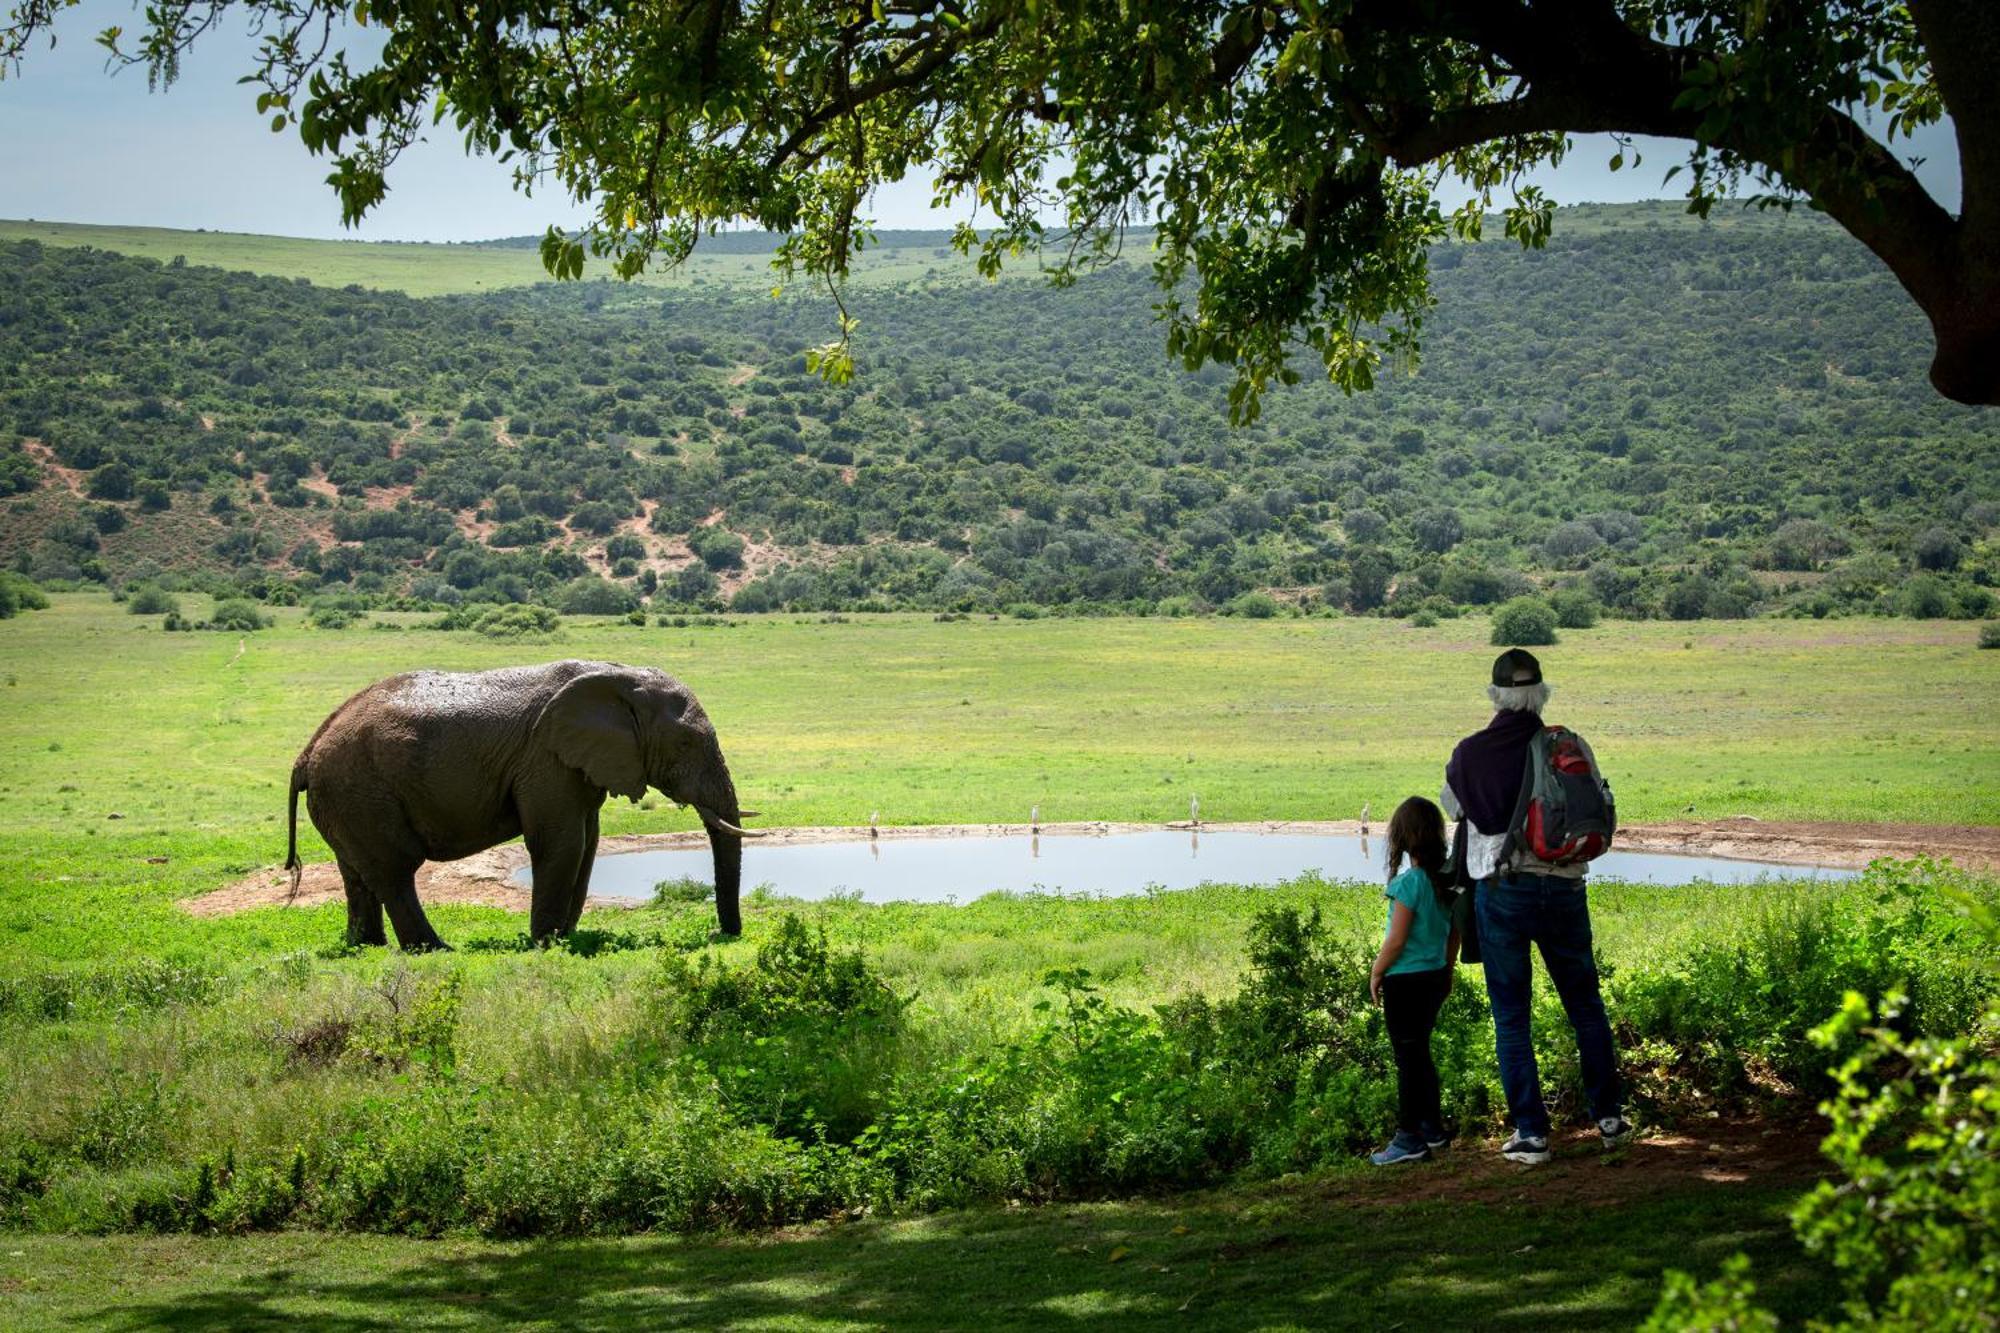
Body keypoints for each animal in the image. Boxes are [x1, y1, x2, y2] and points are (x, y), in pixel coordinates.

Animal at [292, 652, 764, 944]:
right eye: (685, 743)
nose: (723, 935)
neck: (617, 676)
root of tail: (306, 753)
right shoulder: (545, 759)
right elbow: (562, 843)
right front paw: (548, 943)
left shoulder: (578, 762)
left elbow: (587, 845)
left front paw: (566, 937)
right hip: (359, 788)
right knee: (395, 871)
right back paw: (434, 949)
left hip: (345, 798)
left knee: (357, 872)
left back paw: (366, 946)